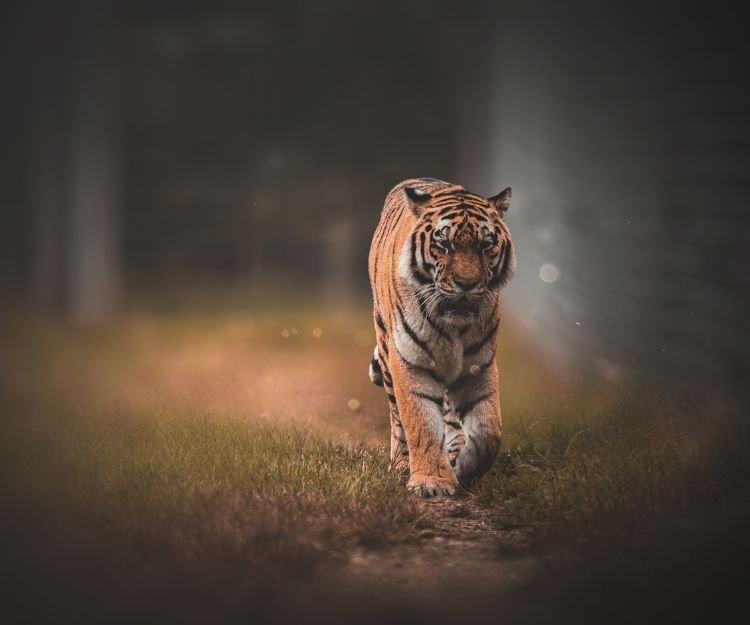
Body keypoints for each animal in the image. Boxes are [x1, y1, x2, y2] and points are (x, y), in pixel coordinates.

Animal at [368, 177, 515, 497]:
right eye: (443, 245)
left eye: (485, 245)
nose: (466, 284)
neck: (454, 328)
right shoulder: (411, 361)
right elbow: (420, 423)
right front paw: (431, 482)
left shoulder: (478, 366)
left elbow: (489, 432)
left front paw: (463, 469)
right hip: (386, 350)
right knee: (398, 418)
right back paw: (402, 463)